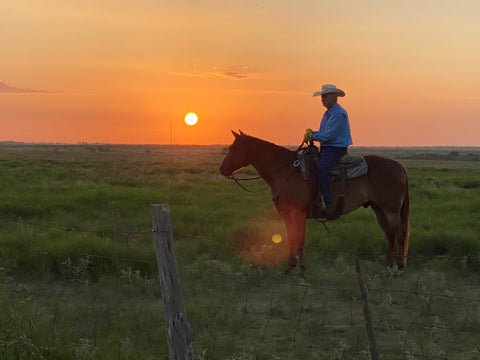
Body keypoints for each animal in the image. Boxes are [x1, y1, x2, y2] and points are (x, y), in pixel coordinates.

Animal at [219, 131, 410, 274]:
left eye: (233, 148)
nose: (222, 169)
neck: (285, 172)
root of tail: (399, 166)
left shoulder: (298, 213)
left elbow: (300, 239)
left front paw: (302, 270)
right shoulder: (287, 215)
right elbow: (291, 238)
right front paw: (290, 267)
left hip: (391, 210)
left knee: (399, 234)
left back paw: (400, 267)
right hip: (379, 209)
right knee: (389, 234)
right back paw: (388, 265)